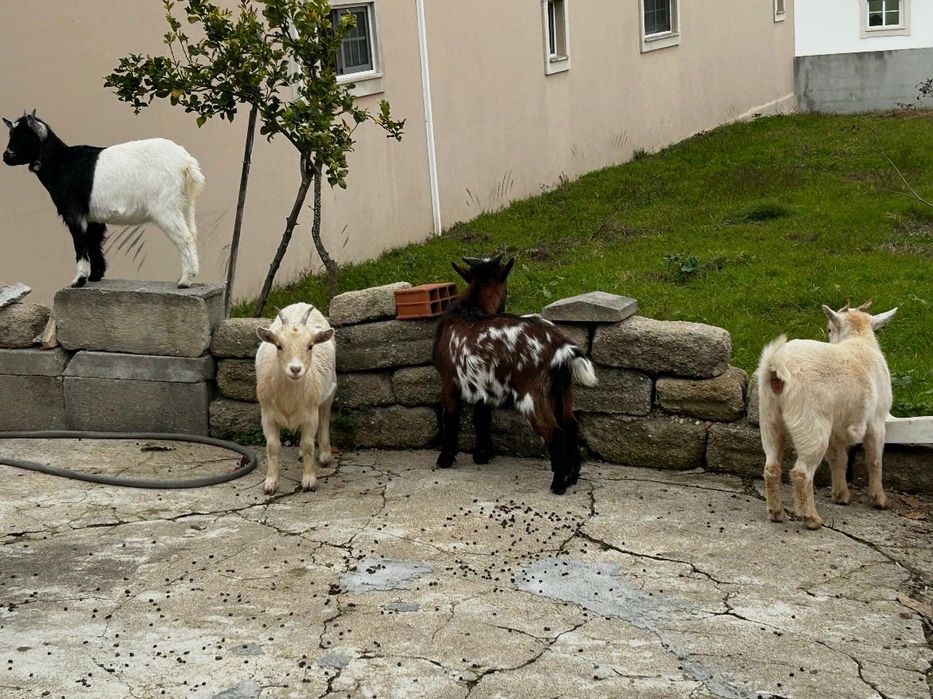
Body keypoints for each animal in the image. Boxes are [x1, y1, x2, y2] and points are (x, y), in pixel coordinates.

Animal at [2, 110, 203, 288]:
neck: (60, 163)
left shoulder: (74, 212)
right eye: (11, 133)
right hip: (185, 204)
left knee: (184, 238)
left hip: (165, 207)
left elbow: (80, 242)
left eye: (24, 136)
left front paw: (79, 280)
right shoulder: (93, 217)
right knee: (192, 234)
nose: (6, 156)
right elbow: (93, 242)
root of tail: (186, 163)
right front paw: (95, 276)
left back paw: (185, 281)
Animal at [255, 303, 336, 495]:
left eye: (310, 346)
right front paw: (270, 483)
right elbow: (272, 447)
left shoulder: (310, 415)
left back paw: (325, 455)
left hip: (328, 393)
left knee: (324, 419)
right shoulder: (267, 415)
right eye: (278, 346)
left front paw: (309, 481)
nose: (295, 369)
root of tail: (301, 304)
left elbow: (308, 446)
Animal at [433, 255, 598, 494]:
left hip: (530, 395)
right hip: (563, 391)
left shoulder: (449, 381)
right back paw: (572, 476)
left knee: (554, 432)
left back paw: (558, 484)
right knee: (570, 425)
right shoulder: (483, 385)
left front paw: (445, 458)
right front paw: (482, 455)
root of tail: (563, 348)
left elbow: (452, 417)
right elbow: (481, 417)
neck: (469, 309)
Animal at [757, 301, 897, 530]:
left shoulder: (836, 430)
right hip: (811, 423)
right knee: (801, 472)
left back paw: (777, 513)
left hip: (769, 419)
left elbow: (838, 458)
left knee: (771, 466)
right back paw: (811, 518)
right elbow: (875, 460)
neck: (859, 341)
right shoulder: (876, 421)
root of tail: (777, 367)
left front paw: (841, 495)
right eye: (829, 328)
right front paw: (880, 500)